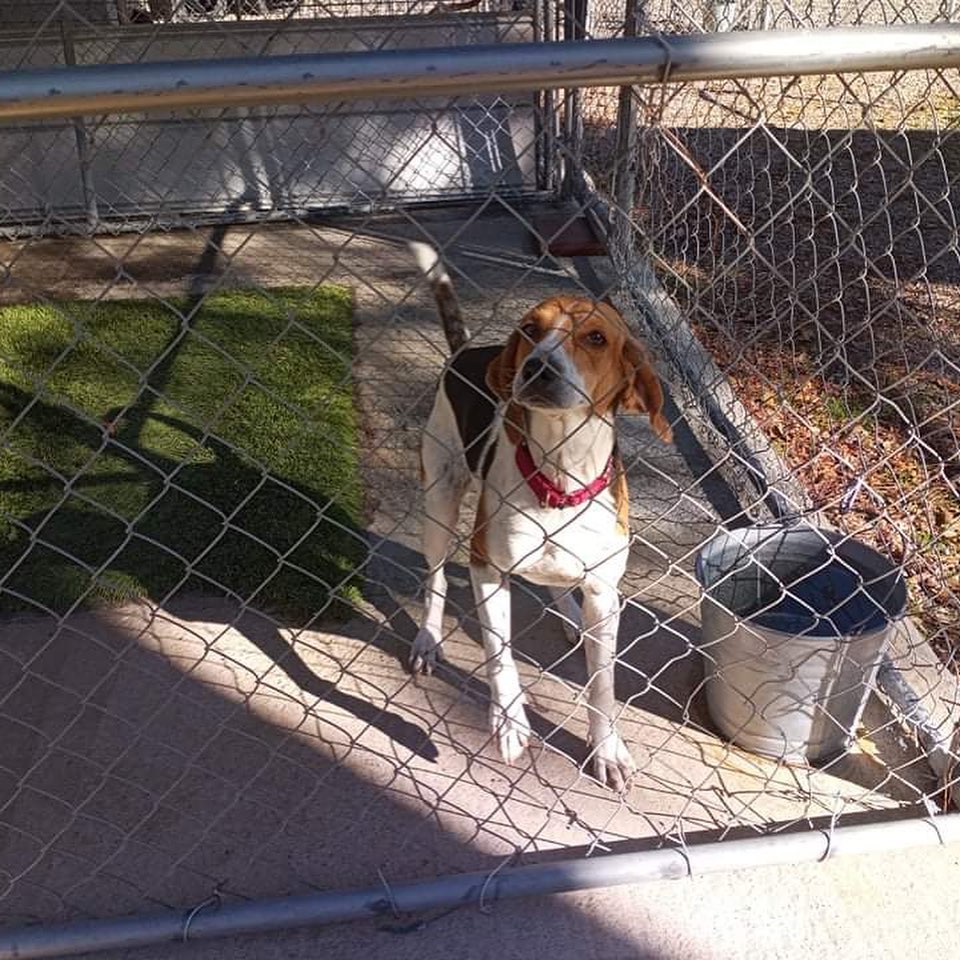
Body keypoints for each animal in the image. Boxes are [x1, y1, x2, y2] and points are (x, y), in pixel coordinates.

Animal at [412, 244, 676, 792]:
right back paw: (427, 638)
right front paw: (510, 721)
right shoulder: (488, 569)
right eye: (531, 329)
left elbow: (603, 685)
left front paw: (607, 749)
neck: (560, 474)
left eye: (595, 338)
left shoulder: (605, 592)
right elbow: (500, 655)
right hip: (440, 500)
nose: (537, 368)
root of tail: (466, 352)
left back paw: (570, 616)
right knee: (436, 579)